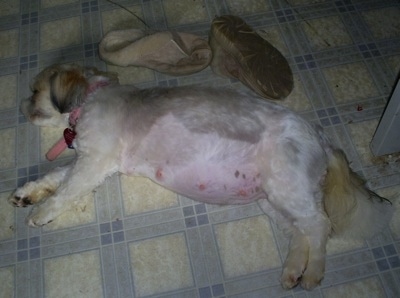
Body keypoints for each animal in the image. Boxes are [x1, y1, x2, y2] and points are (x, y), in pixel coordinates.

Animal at [10, 64, 394, 290]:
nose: (20, 107)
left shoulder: (94, 162)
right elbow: (56, 176)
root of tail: (322, 139)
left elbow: (65, 191)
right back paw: (292, 271)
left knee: (320, 226)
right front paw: (28, 192)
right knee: (301, 233)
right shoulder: (91, 161)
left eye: (34, 92)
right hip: (274, 201)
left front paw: (41, 212)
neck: (89, 97)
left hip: (289, 190)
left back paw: (313, 273)